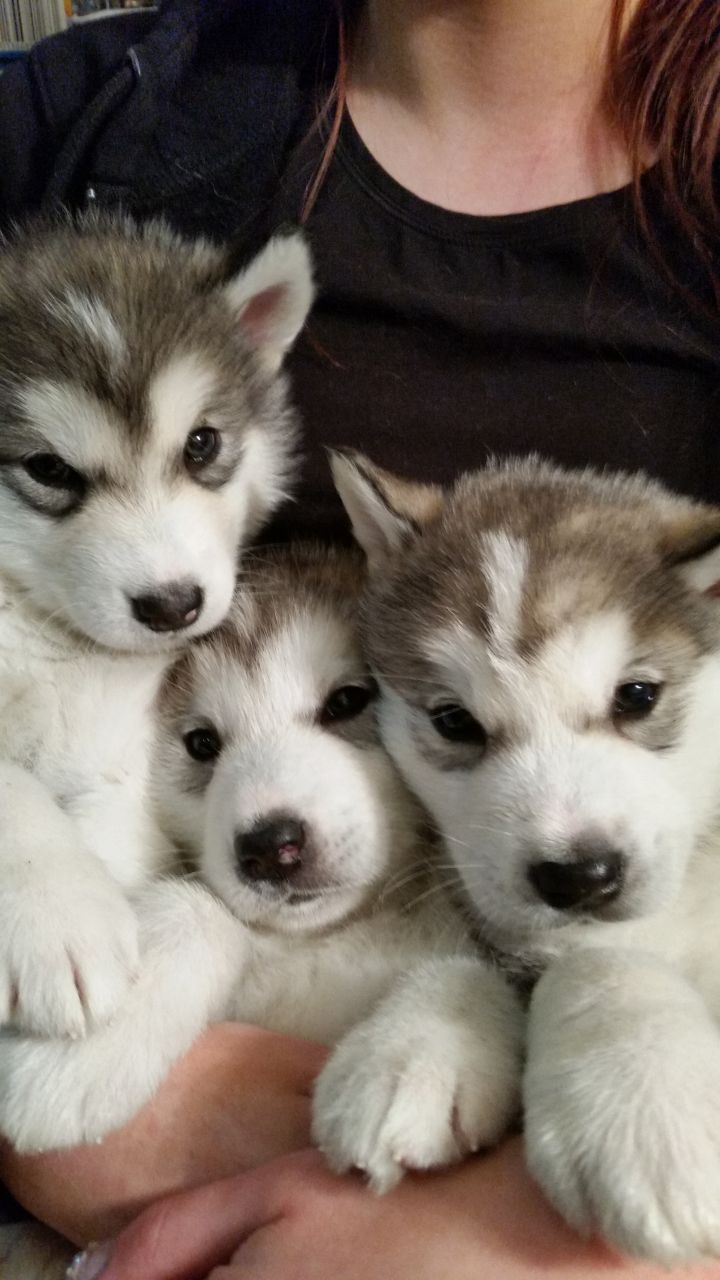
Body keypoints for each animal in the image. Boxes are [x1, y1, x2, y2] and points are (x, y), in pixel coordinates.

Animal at [330, 450, 720, 1259]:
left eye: (637, 696)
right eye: (453, 721)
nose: (579, 877)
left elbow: (602, 961)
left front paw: (646, 1106)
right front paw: (412, 1042)